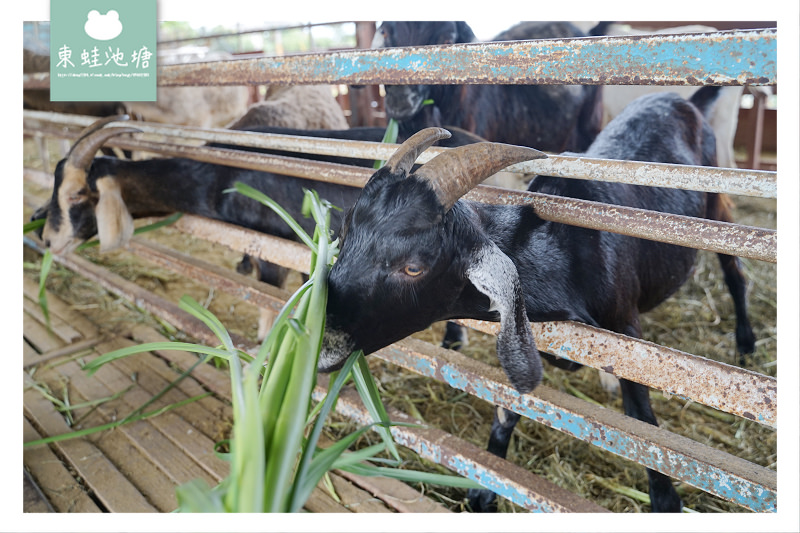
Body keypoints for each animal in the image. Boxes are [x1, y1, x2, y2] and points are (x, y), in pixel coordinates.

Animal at [320, 87, 756, 512]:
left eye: (413, 267)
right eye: (346, 231)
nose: (321, 342)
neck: (566, 254)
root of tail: (685, 101)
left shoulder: (626, 330)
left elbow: (642, 422)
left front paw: (666, 500)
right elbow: (512, 403)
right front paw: (486, 489)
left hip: (717, 211)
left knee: (734, 271)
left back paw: (746, 344)